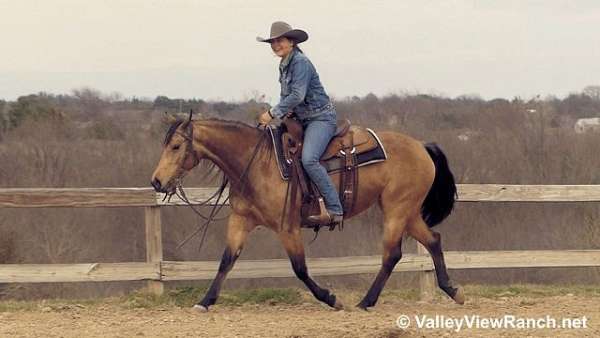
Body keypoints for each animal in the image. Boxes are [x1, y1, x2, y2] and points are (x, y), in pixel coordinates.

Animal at [150, 113, 464, 312]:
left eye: (176, 146)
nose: (156, 182)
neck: (258, 163)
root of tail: (421, 146)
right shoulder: (241, 220)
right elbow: (226, 261)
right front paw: (205, 301)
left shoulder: (287, 228)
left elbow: (300, 268)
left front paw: (331, 299)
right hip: (407, 212)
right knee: (433, 240)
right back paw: (452, 290)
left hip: (397, 211)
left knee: (392, 255)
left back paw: (365, 302)